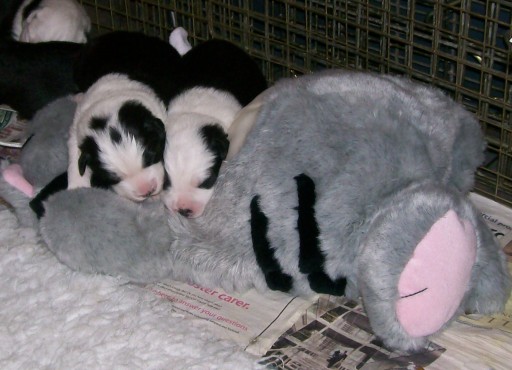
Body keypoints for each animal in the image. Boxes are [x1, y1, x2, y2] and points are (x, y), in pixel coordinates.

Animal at [67, 73, 168, 202]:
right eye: (113, 178)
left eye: (152, 158)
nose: (147, 191)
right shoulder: (76, 129)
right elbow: (75, 158)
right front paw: (77, 186)